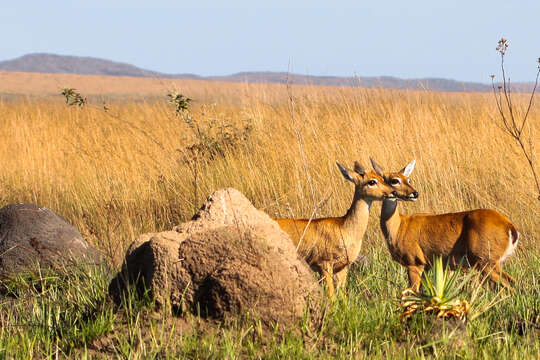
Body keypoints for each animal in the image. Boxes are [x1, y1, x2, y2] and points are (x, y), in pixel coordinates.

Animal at [276, 162, 394, 296]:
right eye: (372, 181)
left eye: (382, 178)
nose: (392, 192)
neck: (346, 229)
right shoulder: (324, 263)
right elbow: (332, 295)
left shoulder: (343, 268)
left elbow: (342, 296)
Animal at [372, 159, 520, 292]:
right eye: (394, 180)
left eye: (408, 180)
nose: (415, 193)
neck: (398, 227)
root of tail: (510, 228)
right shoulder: (427, 265)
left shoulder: (414, 261)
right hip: (492, 263)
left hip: (485, 260)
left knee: (509, 285)